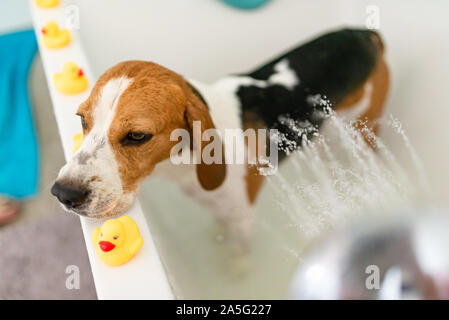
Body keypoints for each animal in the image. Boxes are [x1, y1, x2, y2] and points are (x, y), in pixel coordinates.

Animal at [51, 28, 388, 249]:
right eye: (82, 120)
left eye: (137, 135)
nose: (63, 193)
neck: (184, 166)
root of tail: (364, 33)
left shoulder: (243, 219)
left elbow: (240, 254)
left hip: (365, 125)